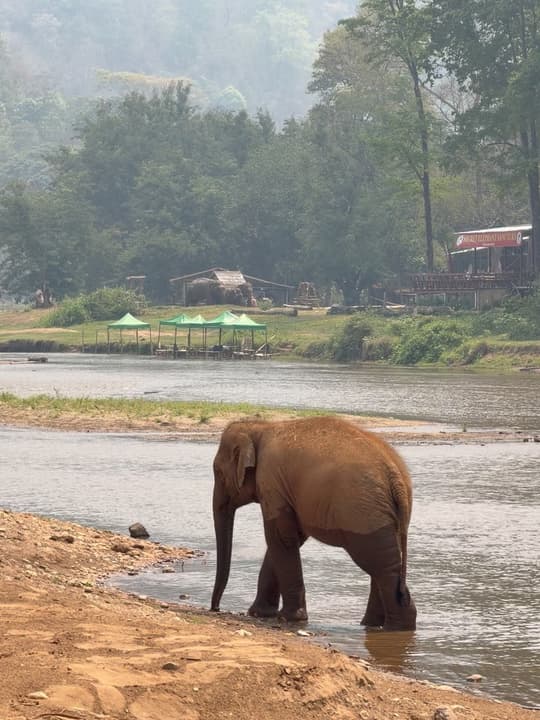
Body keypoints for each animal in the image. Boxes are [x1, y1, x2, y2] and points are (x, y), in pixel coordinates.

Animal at [210, 415, 417, 632]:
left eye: (218, 473)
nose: (215, 608)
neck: (259, 427)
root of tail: (395, 475)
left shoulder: (271, 481)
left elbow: (280, 538)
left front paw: (288, 618)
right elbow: (291, 538)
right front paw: (259, 614)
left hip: (363, 513)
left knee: (380, 565)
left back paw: (396, 628)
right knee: (383, 562)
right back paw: (372, 625)